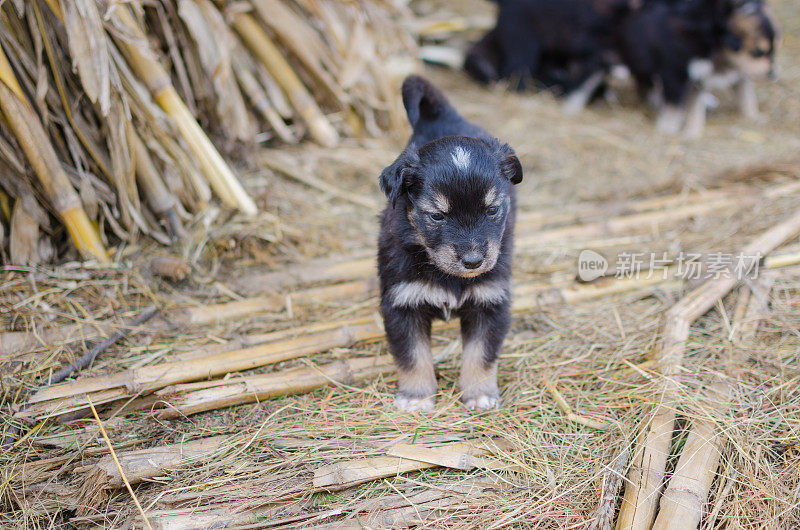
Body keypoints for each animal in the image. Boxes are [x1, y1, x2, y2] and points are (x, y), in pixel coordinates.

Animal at [380, 76, 524, 410]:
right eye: (436, 216)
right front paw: (416, 397)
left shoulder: (491, 300)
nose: (473, 262)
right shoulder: (402, 302)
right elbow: (412, 355)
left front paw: (480, 394)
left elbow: (481, 354)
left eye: (492, 210)